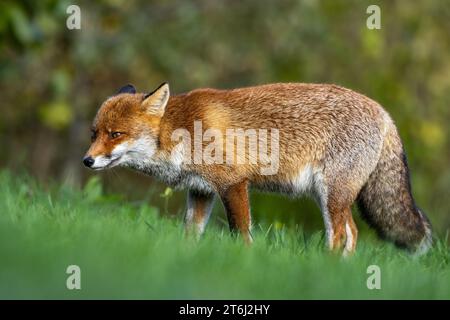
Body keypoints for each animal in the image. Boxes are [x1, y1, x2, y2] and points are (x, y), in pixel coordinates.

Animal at [82, 82, 430, 255]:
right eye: (94, 133)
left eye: (116, 134)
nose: (87, 161)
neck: (182, 131)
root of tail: (384, 113)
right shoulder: (201, 190)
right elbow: (190, 234)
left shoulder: (233, 183)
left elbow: (241, 234)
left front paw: (245, 263)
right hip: (330, 196)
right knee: (353, 233)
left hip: (331, 194)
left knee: (341, 235)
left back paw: (325, 268)